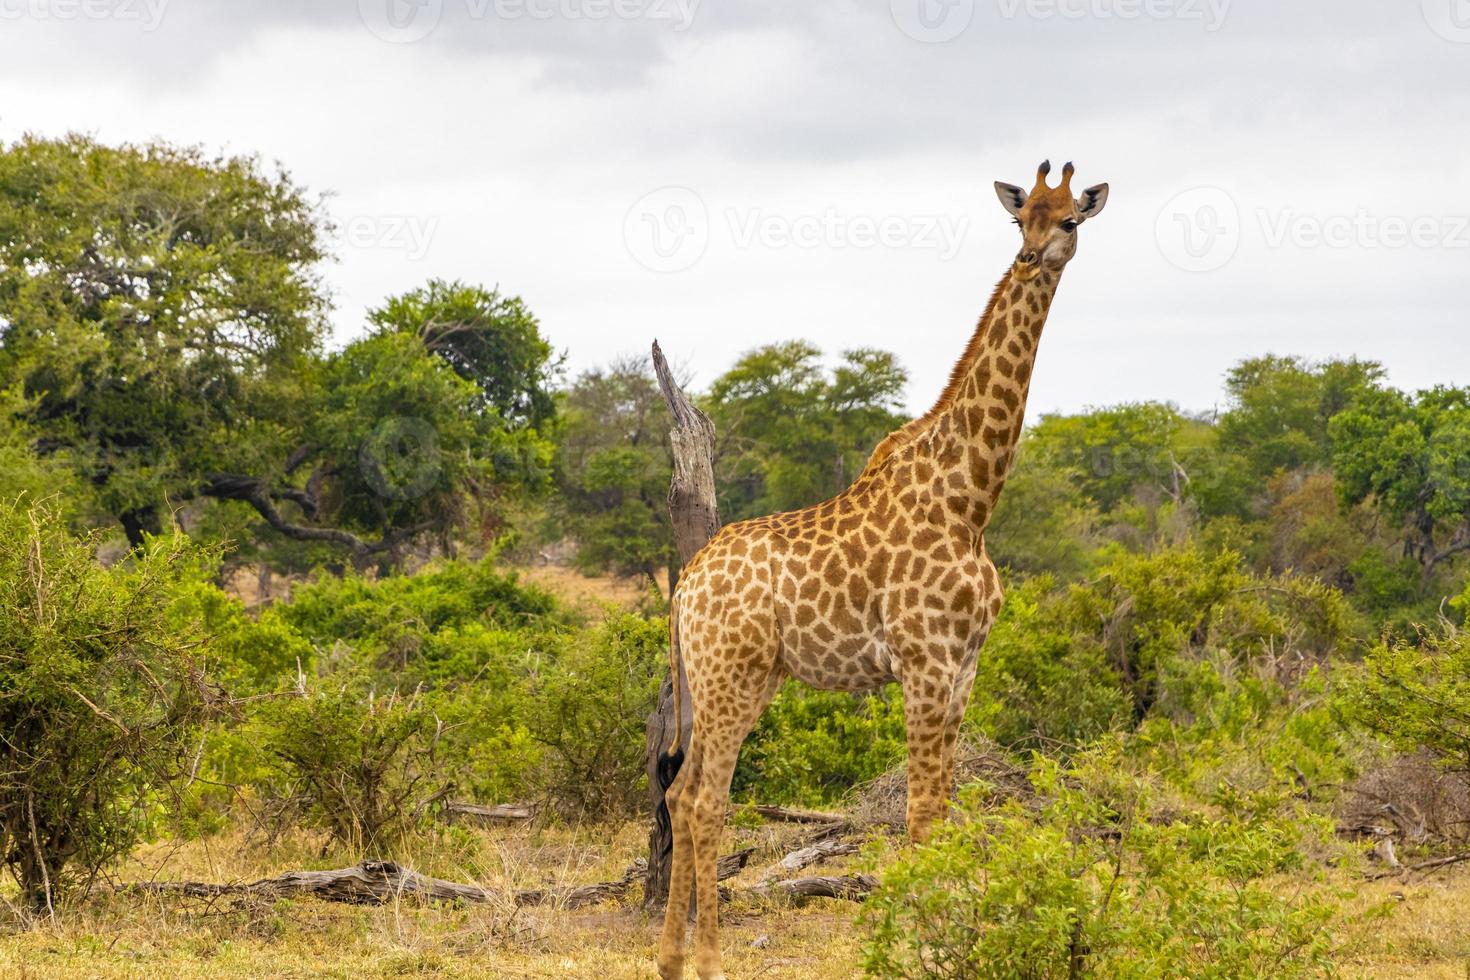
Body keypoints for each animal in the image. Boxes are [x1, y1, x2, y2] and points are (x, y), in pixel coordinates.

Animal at [655, 157, 1105, 975]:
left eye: (1069, 219)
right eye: (1020, 217)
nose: (1032, 257)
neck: (971, 498)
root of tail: (685, 587)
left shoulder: (963, 668)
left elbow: (946, 808)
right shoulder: (924, 664)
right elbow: (919, 813)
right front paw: (925, 947)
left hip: (734, 679)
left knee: (682, 794)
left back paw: (670, 959)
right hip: (730, 677)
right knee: (707, 799)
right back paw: (709, 959)